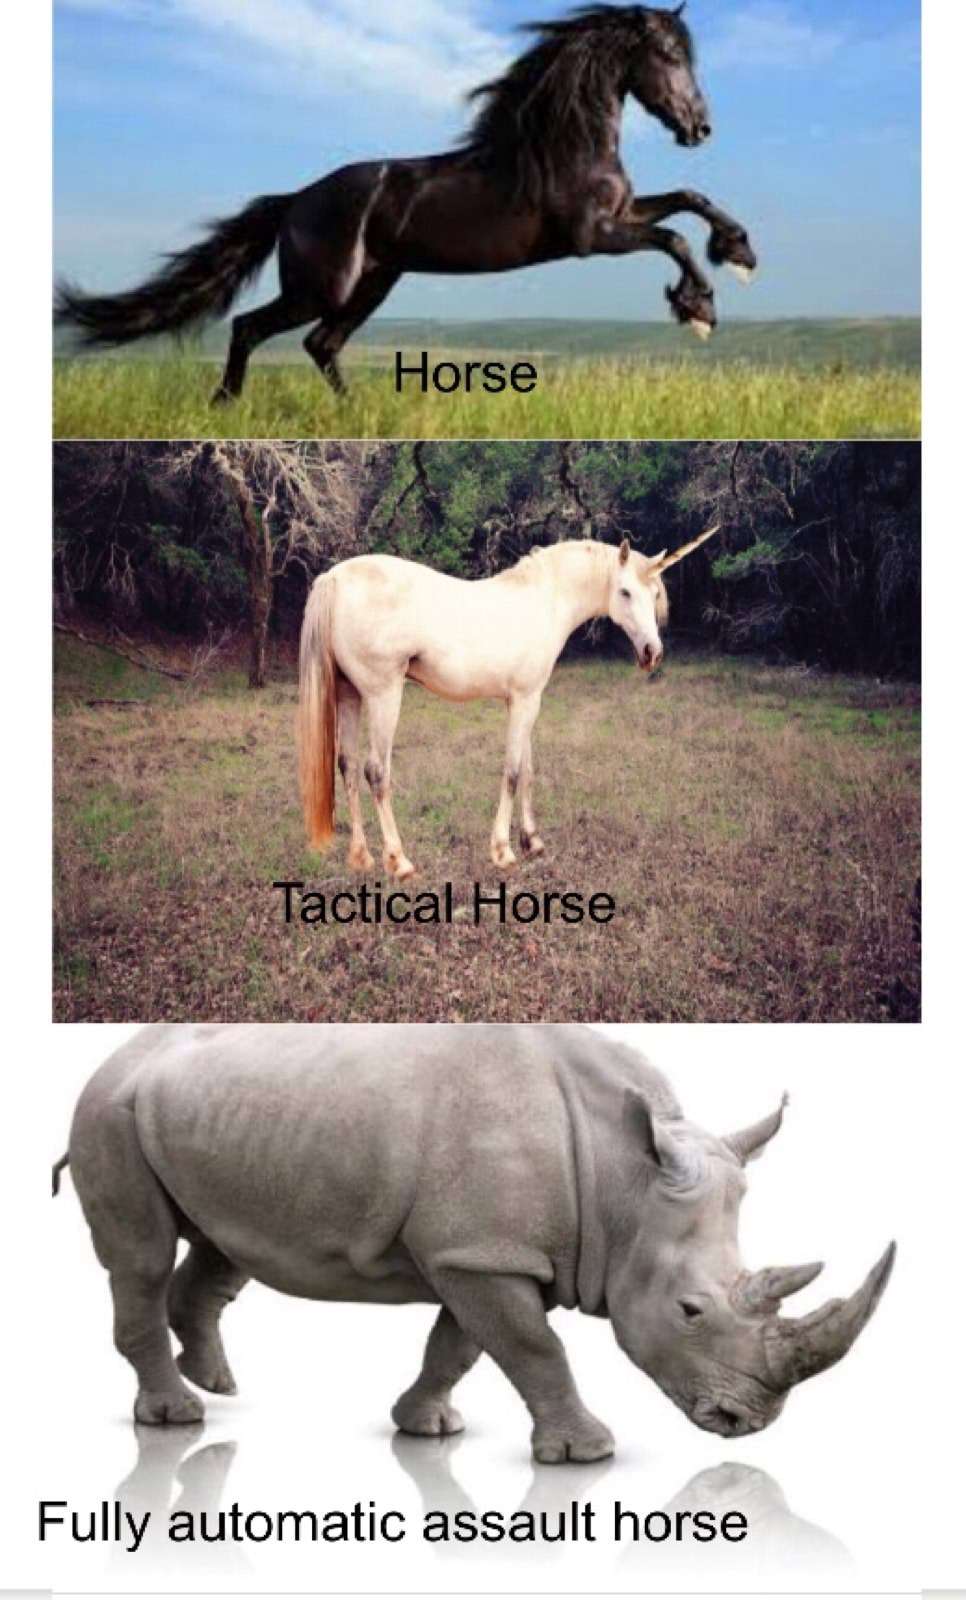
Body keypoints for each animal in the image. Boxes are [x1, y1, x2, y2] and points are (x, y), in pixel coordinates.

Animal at [55, 5, 756, 402]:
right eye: (668, 54)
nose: (700, 128)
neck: (562, 146)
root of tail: (295, 200)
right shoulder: (593, 237)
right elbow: (673, 237)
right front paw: (699, 309)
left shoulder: (623, 214)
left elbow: (689, 200)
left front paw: (740, 253)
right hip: (324, 286)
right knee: (253, 328)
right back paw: (224, 404)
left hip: (374, 283)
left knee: (321, 344)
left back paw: (357, 412)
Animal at [297, 527, 718, 878]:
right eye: (626, 592)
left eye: (655, 594)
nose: (652, 653)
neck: (543, 601)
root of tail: (335, 578)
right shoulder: (525, 700)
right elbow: (514, 772)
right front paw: (502, 851)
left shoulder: (524, 702)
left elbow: (528, 769)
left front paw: (533, 842)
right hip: (384, 695)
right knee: (375, 772)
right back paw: (399, 861)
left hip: (350, 694)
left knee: (348, 767)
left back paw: (361, 857)